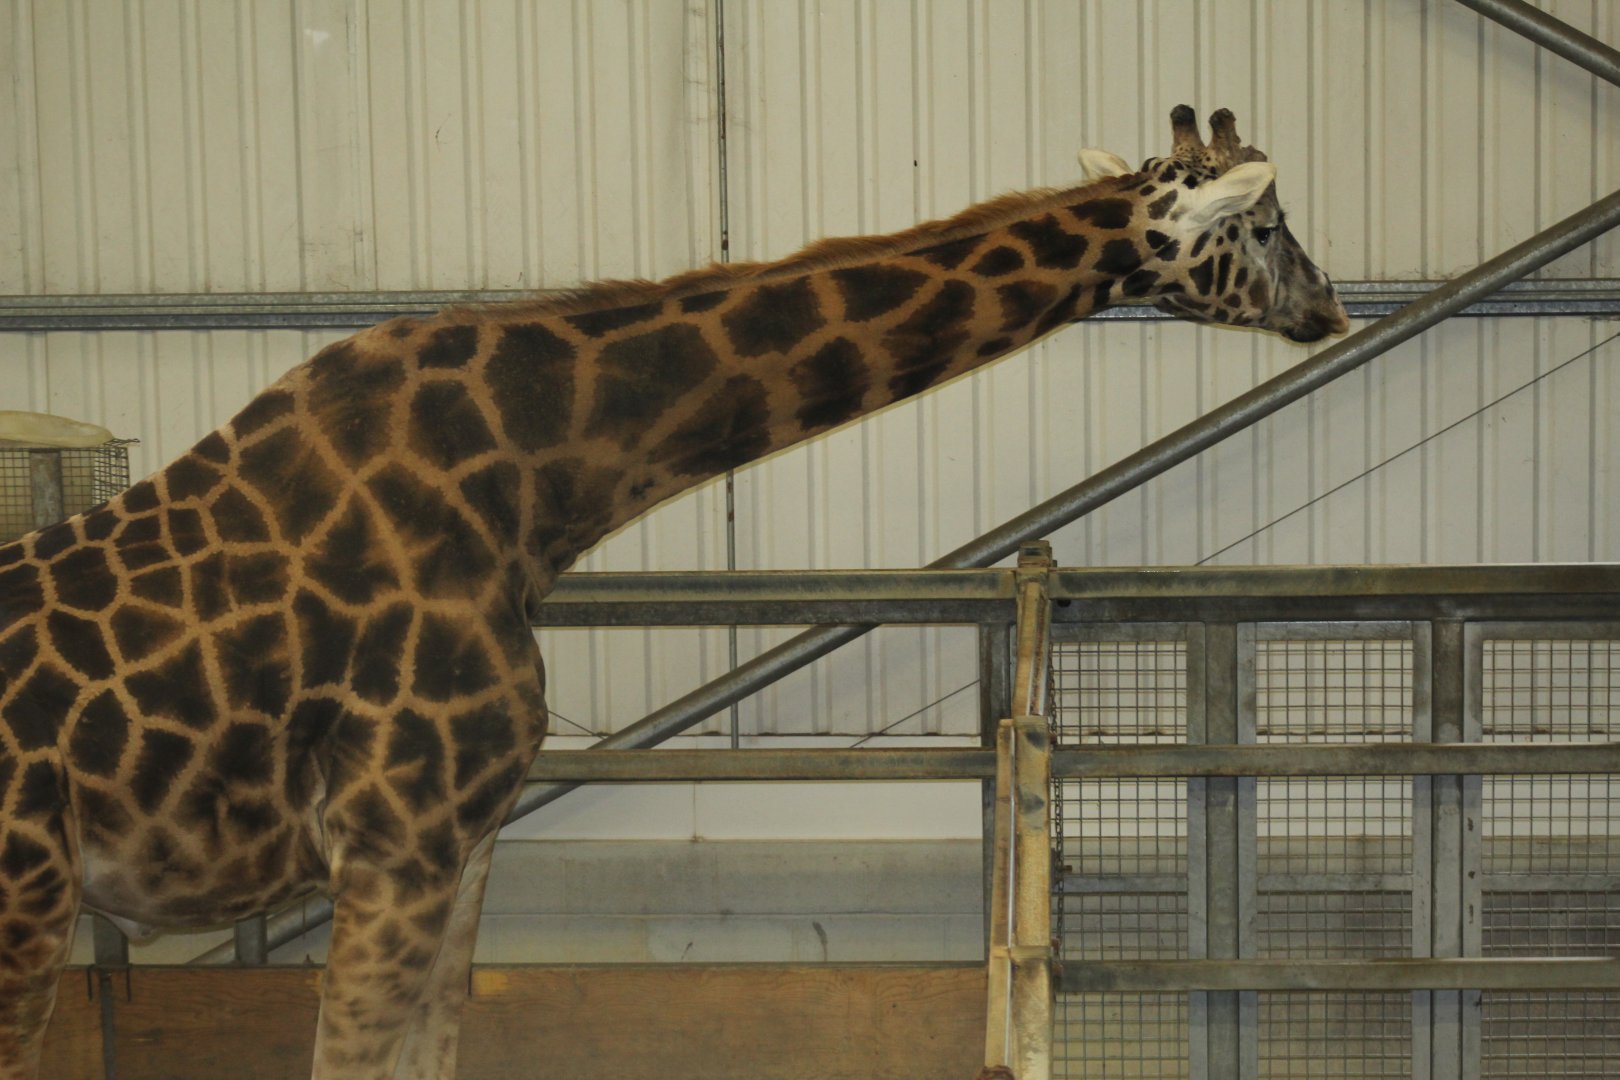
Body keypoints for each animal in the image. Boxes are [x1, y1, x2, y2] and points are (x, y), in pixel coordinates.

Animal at [0, 107, 1345, 1078]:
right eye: (1267, 224)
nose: (1330, 307)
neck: (533, 481)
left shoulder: (463, 845)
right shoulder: (393, 838)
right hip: (28, 902)